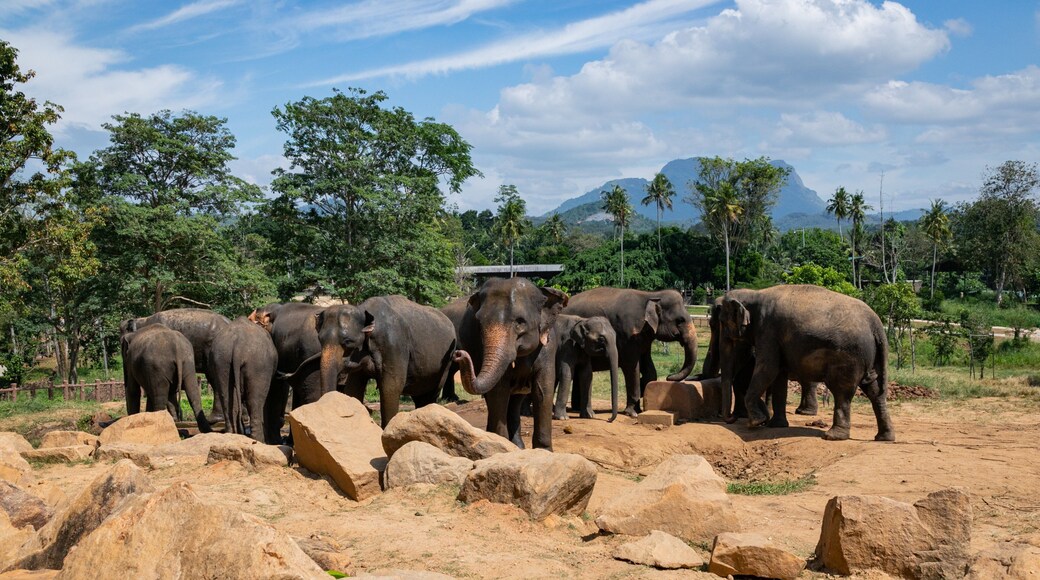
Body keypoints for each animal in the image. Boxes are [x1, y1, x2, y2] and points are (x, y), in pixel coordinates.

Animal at [315, 295, 457, 428]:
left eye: (348, 342)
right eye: (320, 340)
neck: (364, 311)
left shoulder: (394, 345)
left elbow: (391, 387)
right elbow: (354, 387)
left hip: (446, 361)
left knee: (432, 393)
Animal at [453, 277, 569, 450]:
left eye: (520, 322)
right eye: (478, 323)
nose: (458, 354)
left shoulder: (548, 346)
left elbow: (543, 390)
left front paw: (543, 450)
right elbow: (499, 392)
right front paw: (500, 445)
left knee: (516, 402)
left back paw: (518, 446)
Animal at [563, 288, 697, 417]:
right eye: (680, 320)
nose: (669, 377)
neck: (651, 295)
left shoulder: (644, 338)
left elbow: (649, 368)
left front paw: (643, 388)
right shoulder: (628, 336)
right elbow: (632, 367)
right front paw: (633, 413)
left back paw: (576, 409)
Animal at [715, 284, 895, 442]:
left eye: (723, 322)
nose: (731, 418)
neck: (755, 293)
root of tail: (876, 324)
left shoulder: (767, 332)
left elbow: (768, 369)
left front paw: (755, 423)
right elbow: (778, 375)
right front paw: (775, 425)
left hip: (849, 357)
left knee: (842, 392)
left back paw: (832, 436)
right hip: (868, 357)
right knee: (874, 390)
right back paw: (884, 437)